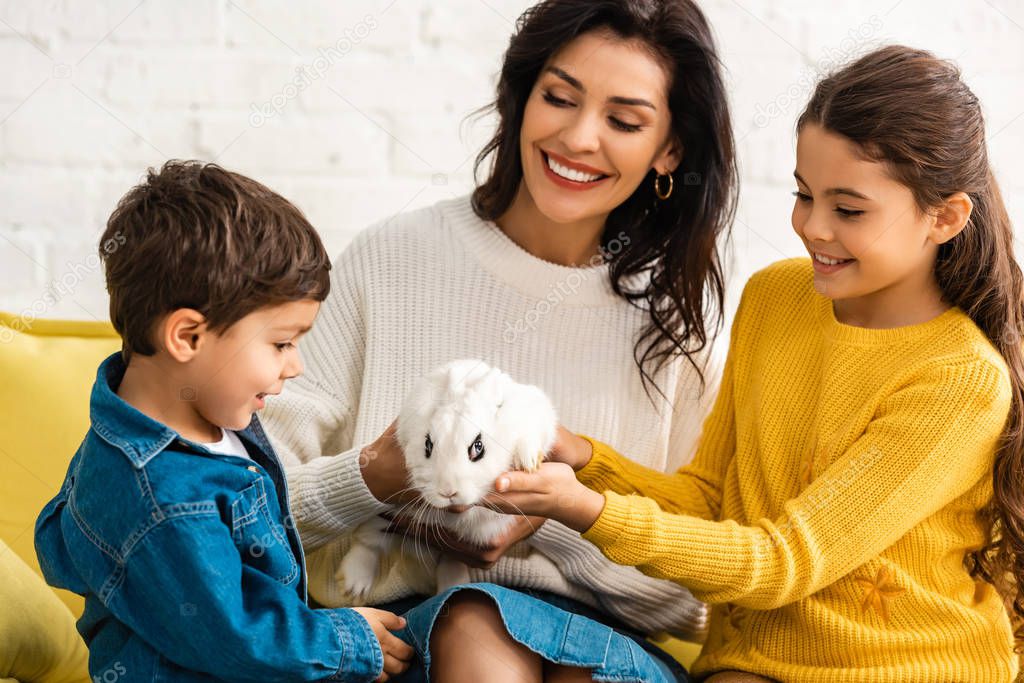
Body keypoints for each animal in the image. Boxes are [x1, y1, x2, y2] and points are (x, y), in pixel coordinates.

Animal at [339, 360, 557, 602]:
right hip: (382, 517)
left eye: (478, 447)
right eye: (428, 445)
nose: (448, 493)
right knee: (367, 544)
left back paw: (452, 587)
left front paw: (529, 462)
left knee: (450, 562)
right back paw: (353, 585)